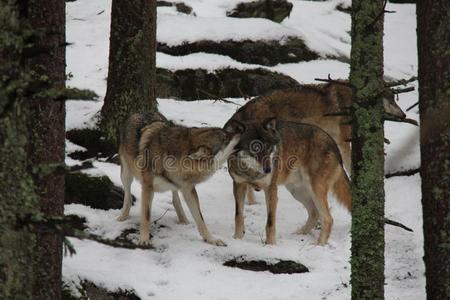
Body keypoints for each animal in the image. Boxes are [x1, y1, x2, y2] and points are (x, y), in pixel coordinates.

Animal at [116, 113, 243, 245]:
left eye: (226, 133)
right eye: (226, 138)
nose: (241, 131)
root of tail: (138, 113)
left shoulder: (189, 189)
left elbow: (200, 218)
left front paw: (211, 239)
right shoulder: (147, 188)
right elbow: (146, 216)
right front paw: (144, 239)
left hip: (174, 185)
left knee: (175, 199)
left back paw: (183, 219)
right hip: (126, 175)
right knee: (128, 196)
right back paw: (123, 216)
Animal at [229, 118, 352, 246]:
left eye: (269, 148)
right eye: (255, 148)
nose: (269, 170)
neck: (252, 172)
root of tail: (332, 142)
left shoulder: (271, 190)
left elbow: (270, 222)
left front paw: (271, 245)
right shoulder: (238, 185)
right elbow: (238, 215)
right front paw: (237, 239)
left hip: (315, 190)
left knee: (328, 218)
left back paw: (319, 244)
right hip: (297, 191)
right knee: (314, 213)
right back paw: (300, 233)